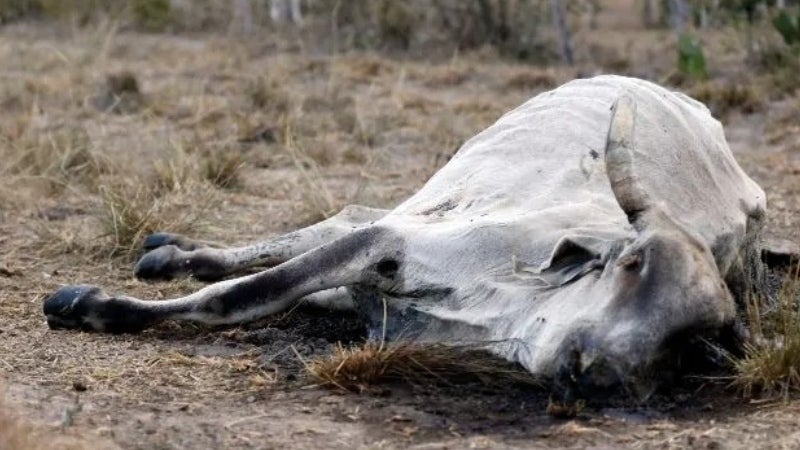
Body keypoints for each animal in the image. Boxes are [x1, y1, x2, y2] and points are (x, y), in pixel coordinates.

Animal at [42, 75, 768, 400]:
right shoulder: (391, 243)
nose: (599, 371)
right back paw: (171, 252)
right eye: (633, 264)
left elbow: (276, 291)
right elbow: (241, 296)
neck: (507, 307)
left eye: (686, 343)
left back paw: (176, 253)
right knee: (342, 216)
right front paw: (91, 306)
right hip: (431, 197)